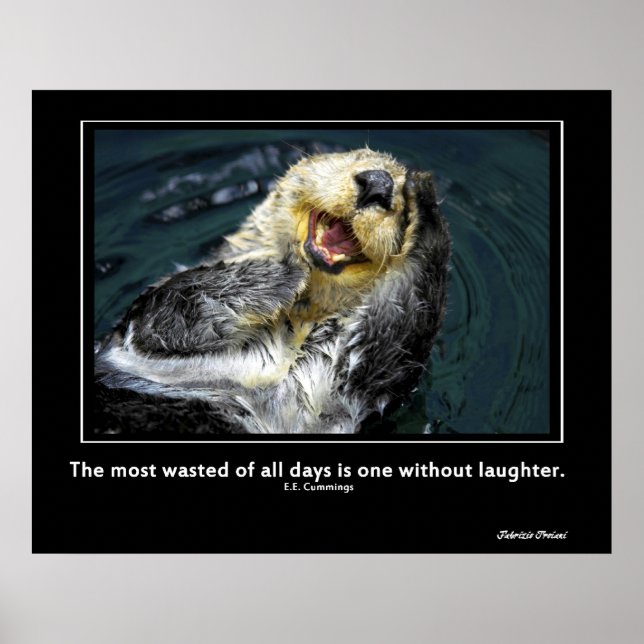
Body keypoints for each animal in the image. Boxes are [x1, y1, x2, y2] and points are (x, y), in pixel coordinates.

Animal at [94, 148, 451, 436]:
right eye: (356, 157)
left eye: (401, 205)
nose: (379, 183)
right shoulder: (141, 327)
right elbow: (171, 308)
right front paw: (287, 271)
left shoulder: (331, 398)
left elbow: (393, 334)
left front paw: (425, 202)